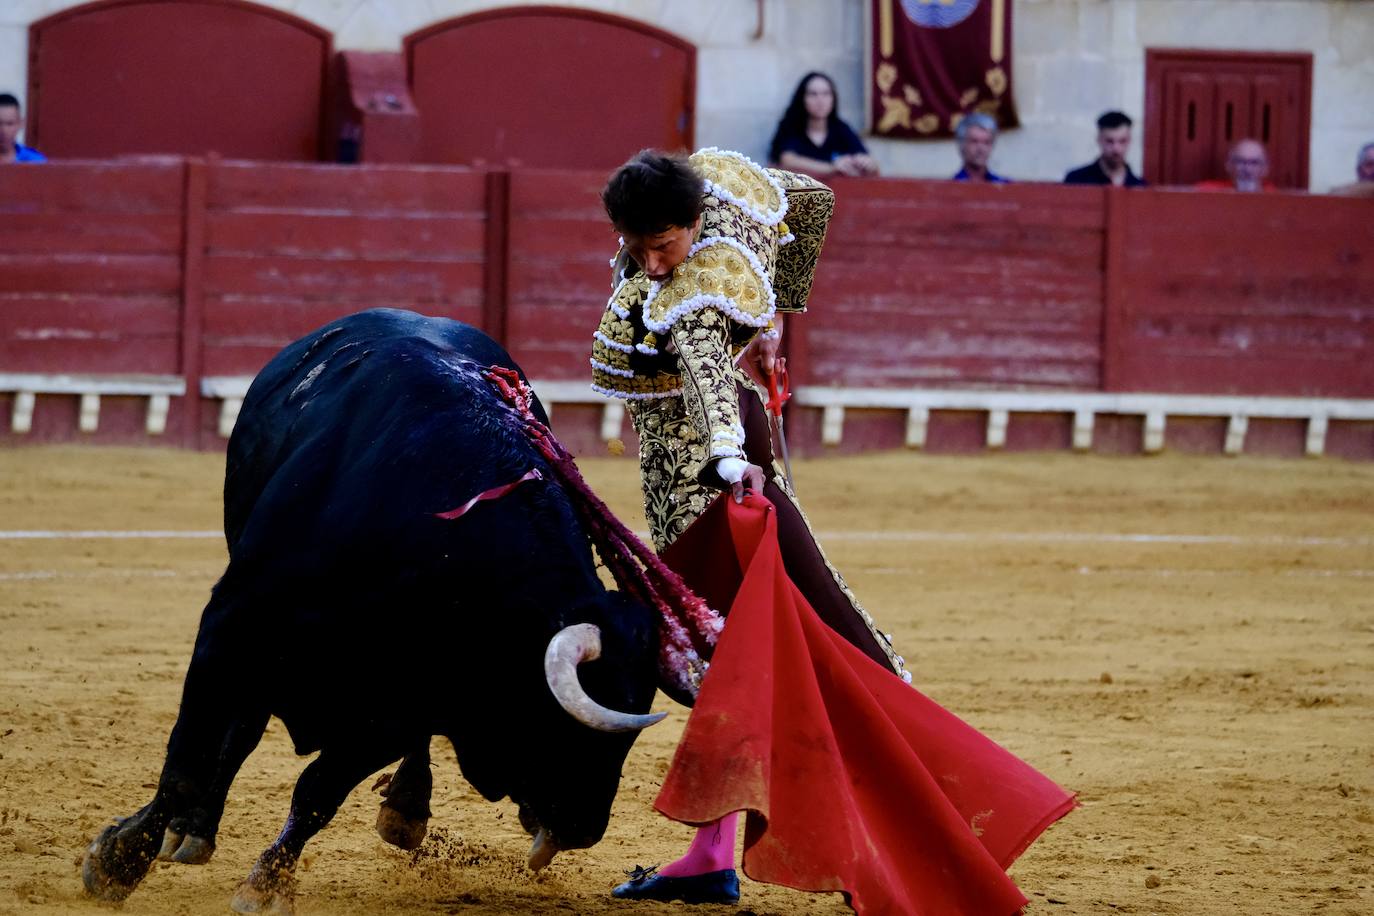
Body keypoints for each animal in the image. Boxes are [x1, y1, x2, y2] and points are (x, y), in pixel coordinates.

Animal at [80, 311, 670, 911]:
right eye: (568, 727)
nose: (584, 828)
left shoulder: (399, 706)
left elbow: (320, 789)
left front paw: (267, 884)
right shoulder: (230, 629)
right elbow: (190, 761)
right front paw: (118, 862)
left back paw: (405, 809)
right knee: (239, 732)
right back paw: (193, 831)